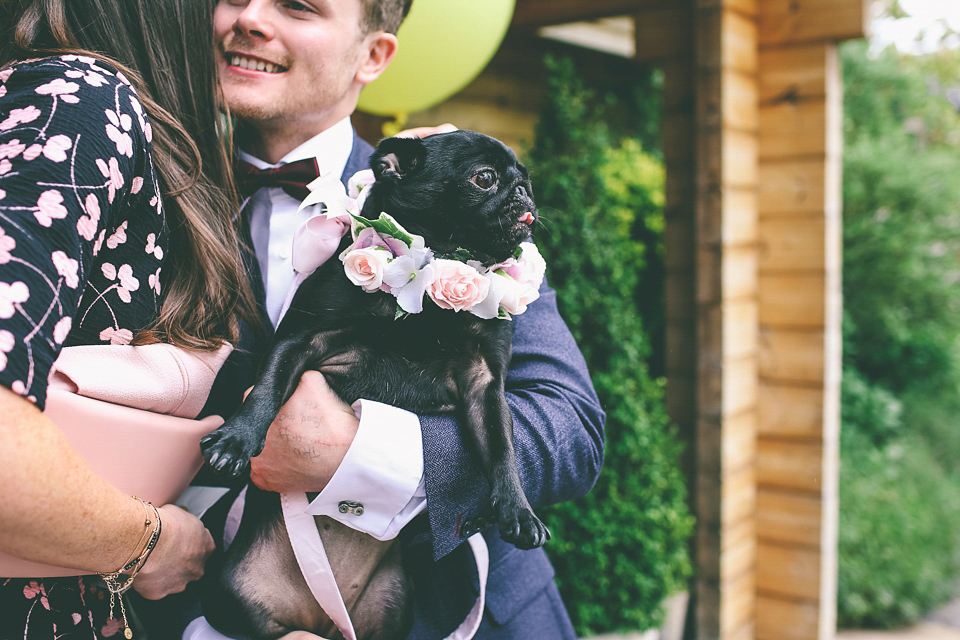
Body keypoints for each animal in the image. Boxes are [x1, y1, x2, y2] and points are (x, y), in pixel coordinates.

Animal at [197, 131, 548, 640]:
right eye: (484, 178)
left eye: (525, 180)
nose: (524, 192)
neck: (436, 267)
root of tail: (323, 619)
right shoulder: (303, 338)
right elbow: (267, 387)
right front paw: (237, 439)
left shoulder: (485, 382)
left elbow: (503, 449)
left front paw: (519, 512)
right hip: (234, 600)